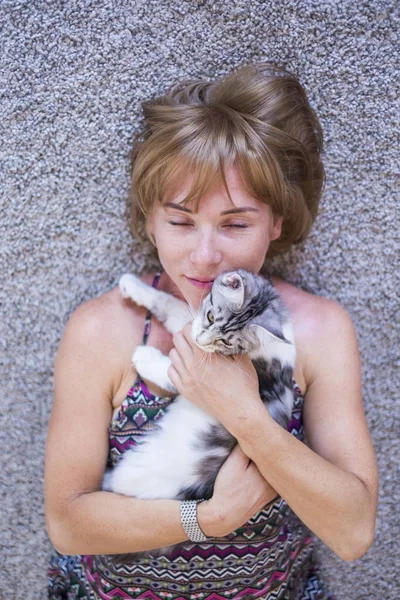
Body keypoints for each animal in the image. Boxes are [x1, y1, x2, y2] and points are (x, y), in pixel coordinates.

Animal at [104, 270, 296, 504]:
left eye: (226, 342)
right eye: (210, 317)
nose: (201, 340)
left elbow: (168, 370)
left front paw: (145, 357)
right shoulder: (190, 323)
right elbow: (170, 304)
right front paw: (133, 285)